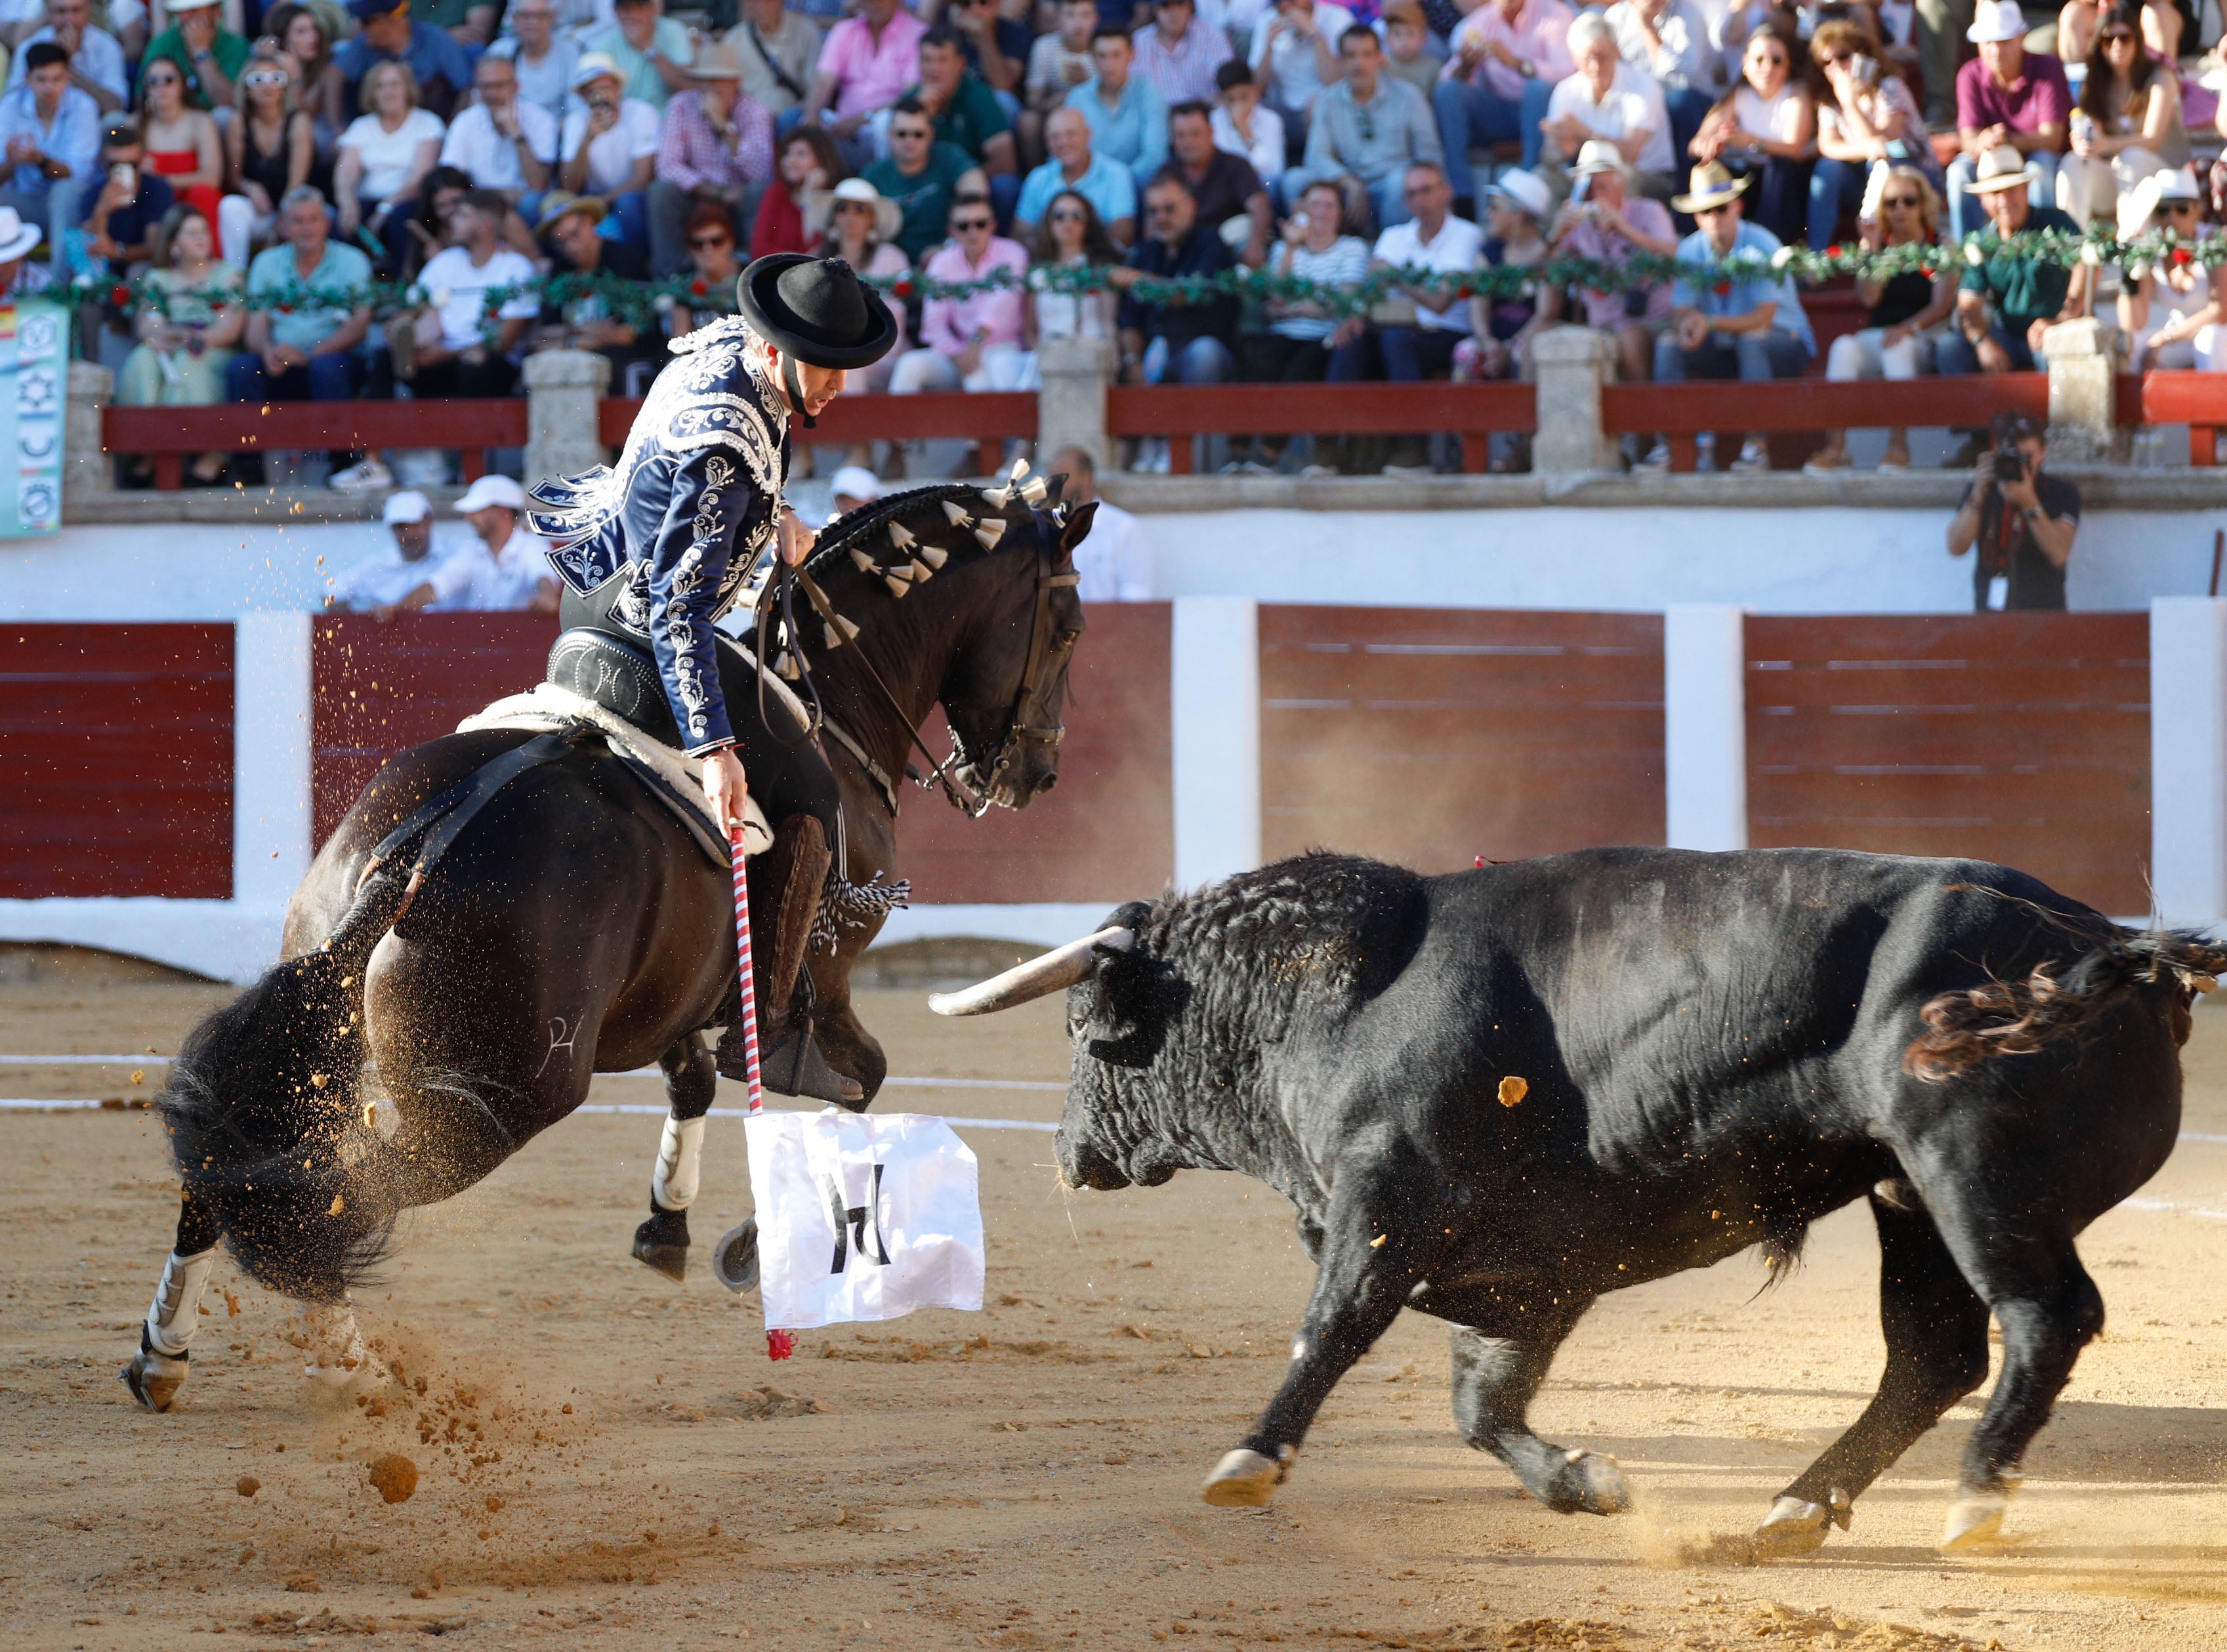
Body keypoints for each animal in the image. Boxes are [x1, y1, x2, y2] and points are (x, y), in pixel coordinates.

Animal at [126, 483, 1091, 1407]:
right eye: (1071, 626)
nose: (1035, 773)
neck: (830, 695)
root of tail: (412, 853)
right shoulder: (834, 974)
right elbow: (860, 1085)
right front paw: (755, 1242)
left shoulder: (671, 1000)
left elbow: (697, 1079)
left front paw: (668, 1223)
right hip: (494, 1102)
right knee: (318, 1197)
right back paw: (345, 1368)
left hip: (324, 1058)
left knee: (235, 1170)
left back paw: (167, 1355)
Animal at [930, 846, 2218, 1558]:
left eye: (1082, 1027)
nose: (1065, 1153)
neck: (1335, 996)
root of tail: (2107, 946)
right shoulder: (1527, 1272)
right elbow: (1477, 1405)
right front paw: (1590, 1485)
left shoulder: (1386, 1200)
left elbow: (1329, 1326)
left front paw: (1250, 1456)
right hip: (1904, 1193)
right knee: (1934, 1350)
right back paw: (1794, 1510)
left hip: (1968, 1173)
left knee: (2041, 1318)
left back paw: (1973, 1497)